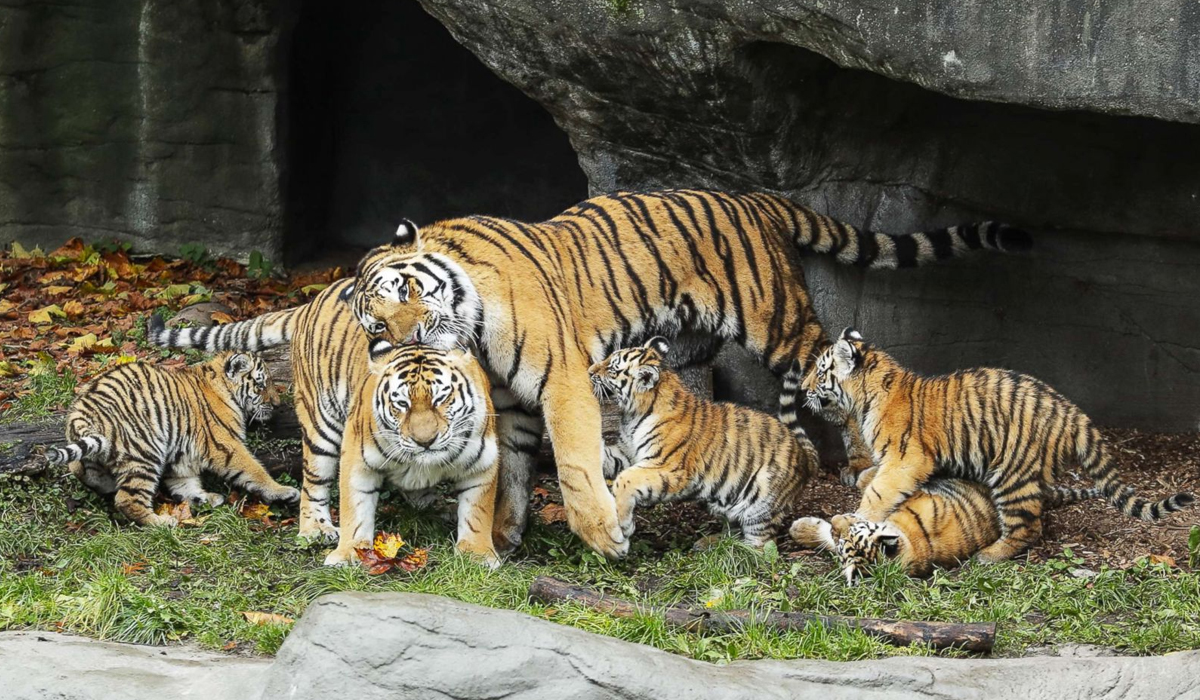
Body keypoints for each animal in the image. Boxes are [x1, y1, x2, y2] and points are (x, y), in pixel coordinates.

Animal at [44, 353, 299, 526]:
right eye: (261, 384)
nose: (277, 404)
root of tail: (79, 414)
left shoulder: (180, 454)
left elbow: (185, 482)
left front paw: (203, 498)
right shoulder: (225, 444)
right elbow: (254, 469)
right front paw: (282, 491)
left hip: (95, 459)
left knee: (82, 471)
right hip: (145, 452)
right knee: (127, 499)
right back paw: (162, 523)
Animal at [323, 339, 500, 568]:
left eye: (440, 399)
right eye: (402, 404)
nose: (425, 441)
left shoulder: (482, 462)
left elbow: (477, 512)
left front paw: (477, 554)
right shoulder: (357, 460)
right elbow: (354, 507)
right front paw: (347, 552)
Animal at [589, 336, 819, 546]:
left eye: (612, 368)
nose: (590, 371)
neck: (633, 414)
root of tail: (805, 455)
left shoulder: (670, 467)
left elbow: (625, 479)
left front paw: (625, 525)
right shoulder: (627, 452)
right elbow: (605, 457)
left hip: (761, 504)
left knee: (762, 548)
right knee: (733, 532)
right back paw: (711, 544)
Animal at [799, 327, 1195, 563]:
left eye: (820, 371)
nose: (802, 388)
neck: (868, 394)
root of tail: (1072, 413)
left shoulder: (904, 459)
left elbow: (879, 493)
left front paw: (858, 517)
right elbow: (873, 479)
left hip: (1011, 473)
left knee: (1028, 528)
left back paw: (990, 555)